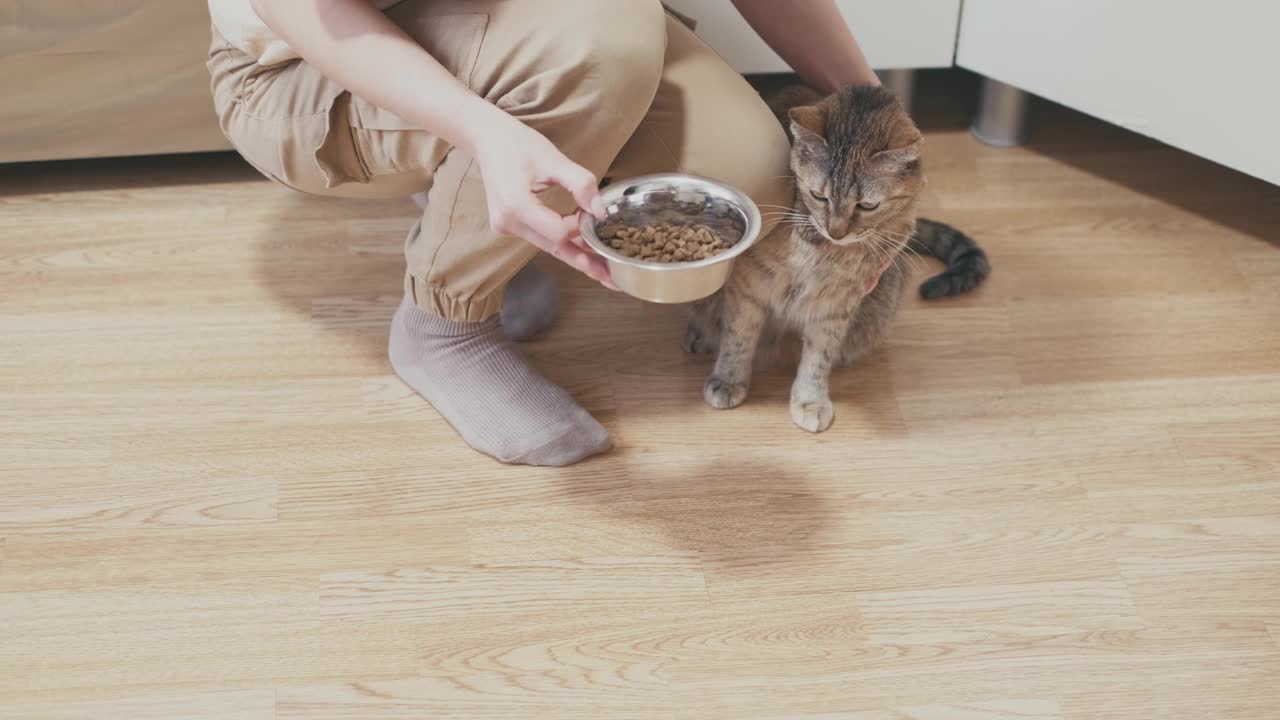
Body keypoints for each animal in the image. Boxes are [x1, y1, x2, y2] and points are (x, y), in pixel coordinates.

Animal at [691, 83, 988, 430]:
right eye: (818, 195)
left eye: (867, 205)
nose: (836, 231)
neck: (819, 250)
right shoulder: (748, 285)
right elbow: (738, 337)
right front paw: (728, 380)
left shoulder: (838, 305)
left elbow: (818, 358)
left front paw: (810, 400)